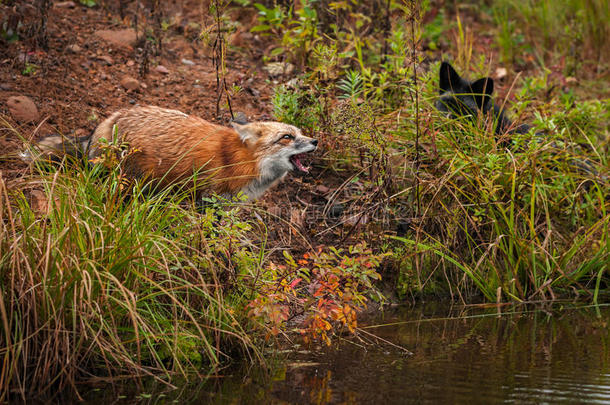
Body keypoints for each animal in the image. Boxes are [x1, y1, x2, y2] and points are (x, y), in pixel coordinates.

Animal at [27, 105, 316, 198]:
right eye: (287, 137)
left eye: (300, 133)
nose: (315, 141)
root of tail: (113, 117)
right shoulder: (207, 198)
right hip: (126, 179)